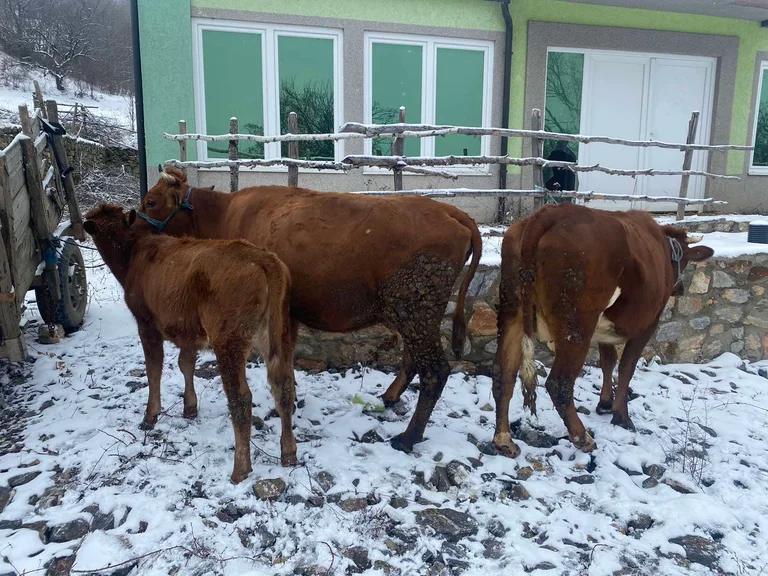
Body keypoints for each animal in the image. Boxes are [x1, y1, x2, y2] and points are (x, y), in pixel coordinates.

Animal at [83, 204, 298, 483]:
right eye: (103, 228)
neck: (131, 254)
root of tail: (265, 260)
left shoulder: (146, 323)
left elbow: (154, 370)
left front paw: (150, 415)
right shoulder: (188, 330)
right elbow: (185, 364)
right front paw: (190, 407)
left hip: (228, 339)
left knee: (241, 397)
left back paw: (240, 468)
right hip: (280, 333)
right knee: (283, 385)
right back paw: (288, 452)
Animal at [133, 168, 482, 454]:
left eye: (150, 202)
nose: (131, 226)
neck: (224, 214)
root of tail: (453, 212)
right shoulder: (290, 314)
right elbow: (287, 360)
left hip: (415, 313)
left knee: (435, 371)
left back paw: (407, 438)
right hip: (413, 316)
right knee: (413, 360)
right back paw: (389, 397)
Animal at [491, 203, 714, 457]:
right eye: (685, 260)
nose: (681, 289)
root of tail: (550, 211)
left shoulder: (605, 330)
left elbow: (608, 360)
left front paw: (605, 403)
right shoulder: (648, 324)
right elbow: (626, 367)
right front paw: (621, 416)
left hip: (513, 310)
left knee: (504, 373)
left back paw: (504, 440)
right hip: (577, 325)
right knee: (559, 383)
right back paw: (582, 437)